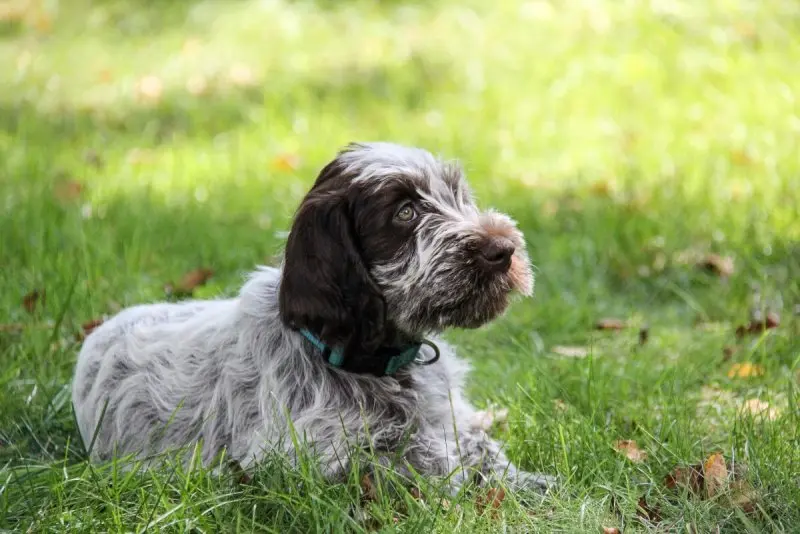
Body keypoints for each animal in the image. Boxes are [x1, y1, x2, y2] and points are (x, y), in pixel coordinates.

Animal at [72, 142, 552, 494]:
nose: (503, 250)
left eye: (459, 197)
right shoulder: (302, 456)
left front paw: (531, 482)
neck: (375, 364)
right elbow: (416, 460)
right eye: (405, 213)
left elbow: (478, 444)